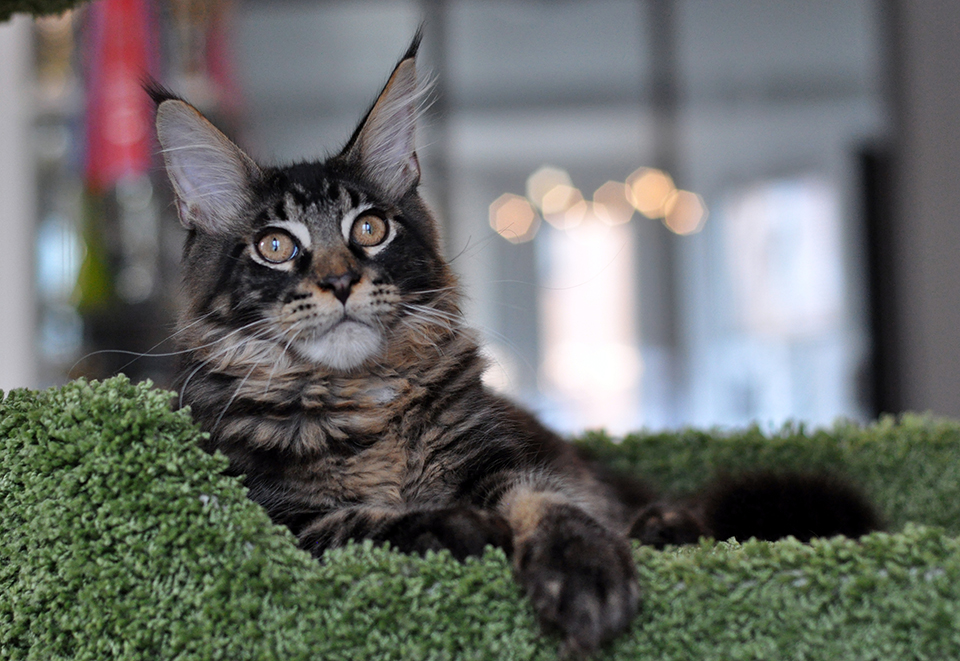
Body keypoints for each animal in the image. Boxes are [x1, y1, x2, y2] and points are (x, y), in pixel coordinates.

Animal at [148, 32, 876, 656]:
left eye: (371, 228)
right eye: (275, 246)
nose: (340, 280)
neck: (366, 405)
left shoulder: (502, 456)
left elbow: (545, 500)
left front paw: (582, 570)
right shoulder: (274, 518)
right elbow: (361, 524)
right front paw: (457, 526)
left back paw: (662, 527)